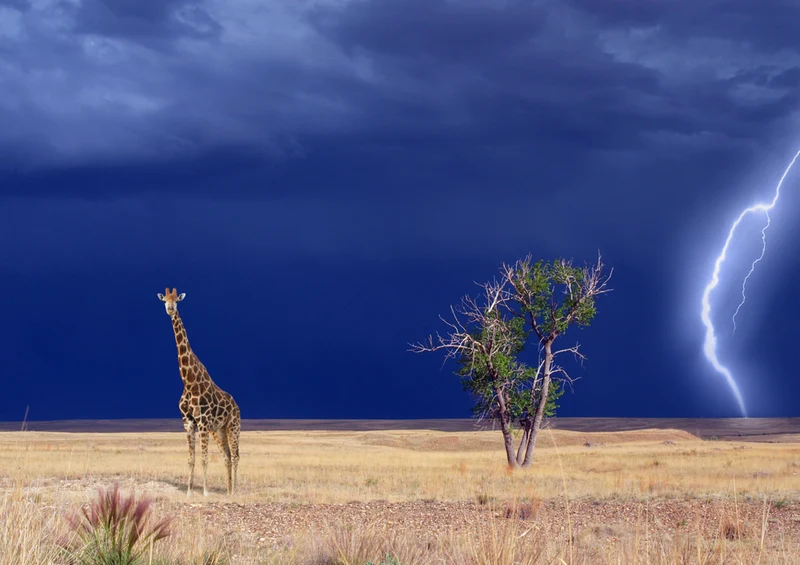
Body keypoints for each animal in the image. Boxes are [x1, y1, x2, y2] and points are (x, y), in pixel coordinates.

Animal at [157, 288, 241, 497]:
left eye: (177, 300)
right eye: (165, 300)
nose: (170, 309)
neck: (188, 381)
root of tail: (237, 406)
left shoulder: (202, 422)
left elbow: (203, 458)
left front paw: (205, 492)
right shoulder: (188, 422)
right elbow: (191, 459)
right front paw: (188, 492)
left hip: (233, 426)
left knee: (236, 455)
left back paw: (235, 490)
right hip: (218, 429)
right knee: (227, 455)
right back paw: (228, 492)